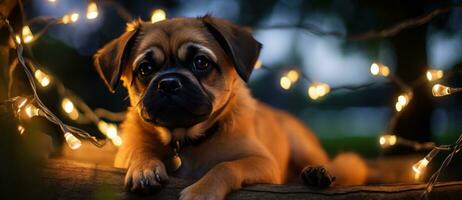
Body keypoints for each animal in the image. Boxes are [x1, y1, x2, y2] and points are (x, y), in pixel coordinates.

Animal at [94, 16, 368, 200]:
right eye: (145, 69)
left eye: (201, 62)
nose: (169, 82)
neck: (185, 139)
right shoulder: (125, 151)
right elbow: (139, 151)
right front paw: (145, 167)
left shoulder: (263, 162)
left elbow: (226, 166)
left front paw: (202, 191)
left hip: (303, 147)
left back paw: (317, 174)